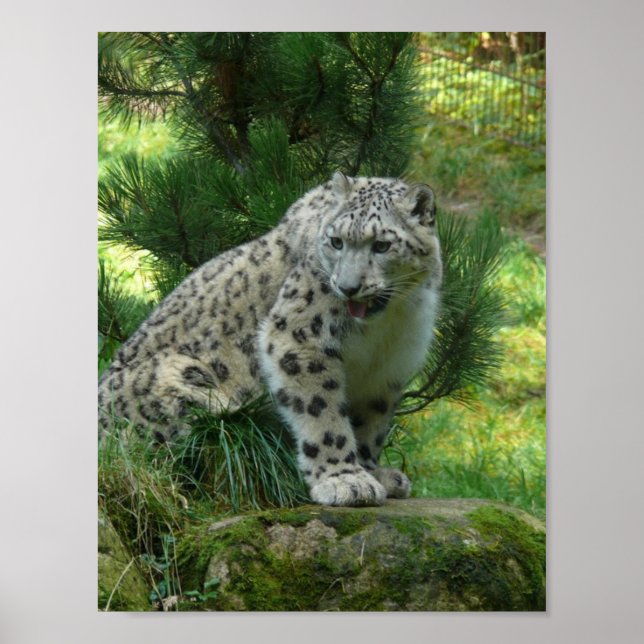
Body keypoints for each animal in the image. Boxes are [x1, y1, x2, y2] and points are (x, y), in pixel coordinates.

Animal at [98, 172, 442, 507]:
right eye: (336, 242)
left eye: (382, 245)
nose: (347, 287)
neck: (386, 323)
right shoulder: (300, 338)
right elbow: (322, 411)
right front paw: (345, 480)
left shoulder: (388, 367)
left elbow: (371, 424)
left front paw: (373, 471)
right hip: (179, 379)